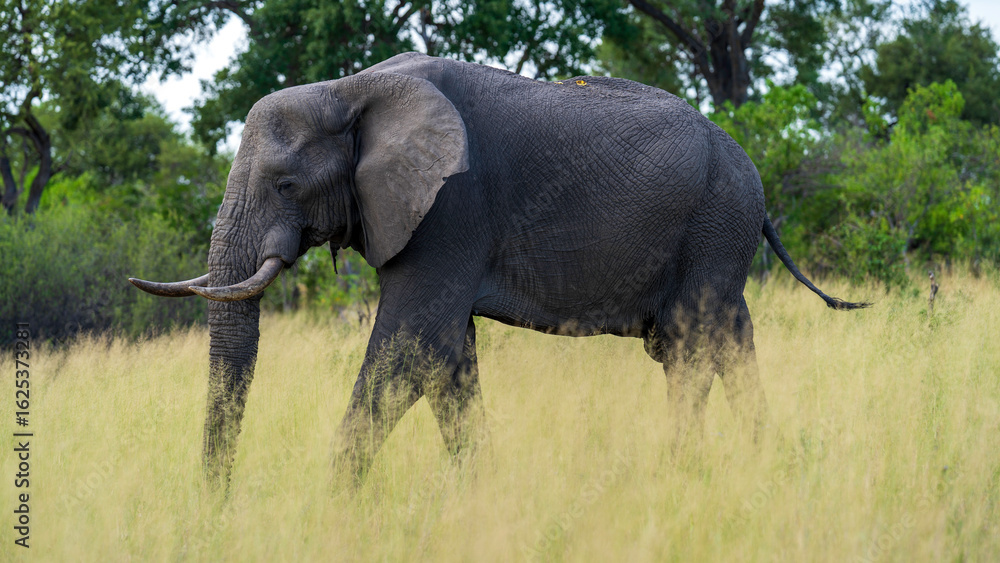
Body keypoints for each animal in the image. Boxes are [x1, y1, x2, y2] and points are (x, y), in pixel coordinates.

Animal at [131, 52, 867, 486]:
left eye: (285, 184)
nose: (218, 509)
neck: (346, 88)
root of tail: (750, 167)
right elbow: (448, 356)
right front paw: (476, 490)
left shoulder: (453, 204)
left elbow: (414, 341)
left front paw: (333, 502)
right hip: (719, 231)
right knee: (724, 339)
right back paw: (761, 459)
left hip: (717, 218)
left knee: (692, 345)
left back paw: (685, 473)